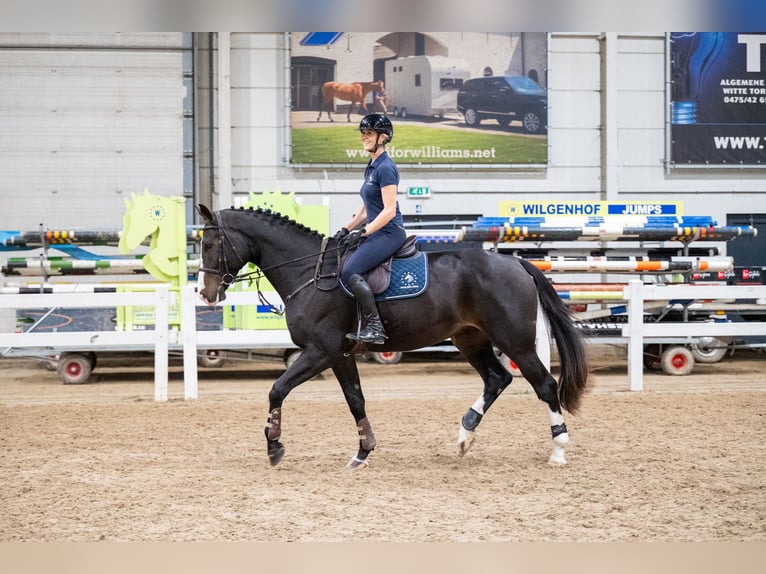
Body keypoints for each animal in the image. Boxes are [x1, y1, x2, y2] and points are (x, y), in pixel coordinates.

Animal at [196, 205, 588, 470]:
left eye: (211, 243)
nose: (205, 293)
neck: (310, 272)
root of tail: (514, 262)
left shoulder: (320, 351)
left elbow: (277, 389)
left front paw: (274, 447)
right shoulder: (340, 355)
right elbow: (356, 400)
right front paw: (363, 452)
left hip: (514, 340)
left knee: (543, 385)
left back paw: (558, 449)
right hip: (471, 339)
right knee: (497, 378)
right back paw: (464, 436)